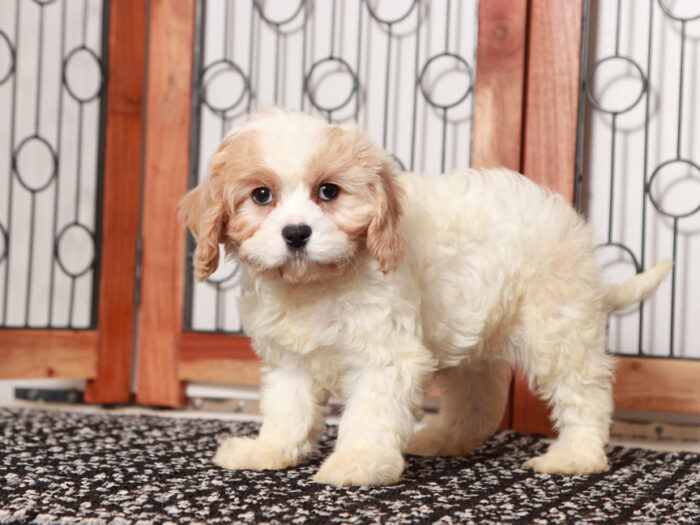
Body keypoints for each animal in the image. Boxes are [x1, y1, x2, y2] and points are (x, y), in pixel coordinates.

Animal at [180, 108, 672, 486]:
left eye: (328, 191)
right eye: (261, 195)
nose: (297, 233)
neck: (317, 283)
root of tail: (574, 228)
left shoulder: (385, 354)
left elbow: (370, 413)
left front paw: (358, 463)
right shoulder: (290, 360)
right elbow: (287, 407)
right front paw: (268, 450)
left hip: (558, 326)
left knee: (584, 392)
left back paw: (576, 457)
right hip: (468, 336)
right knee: (479, 399)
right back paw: (442, 440)